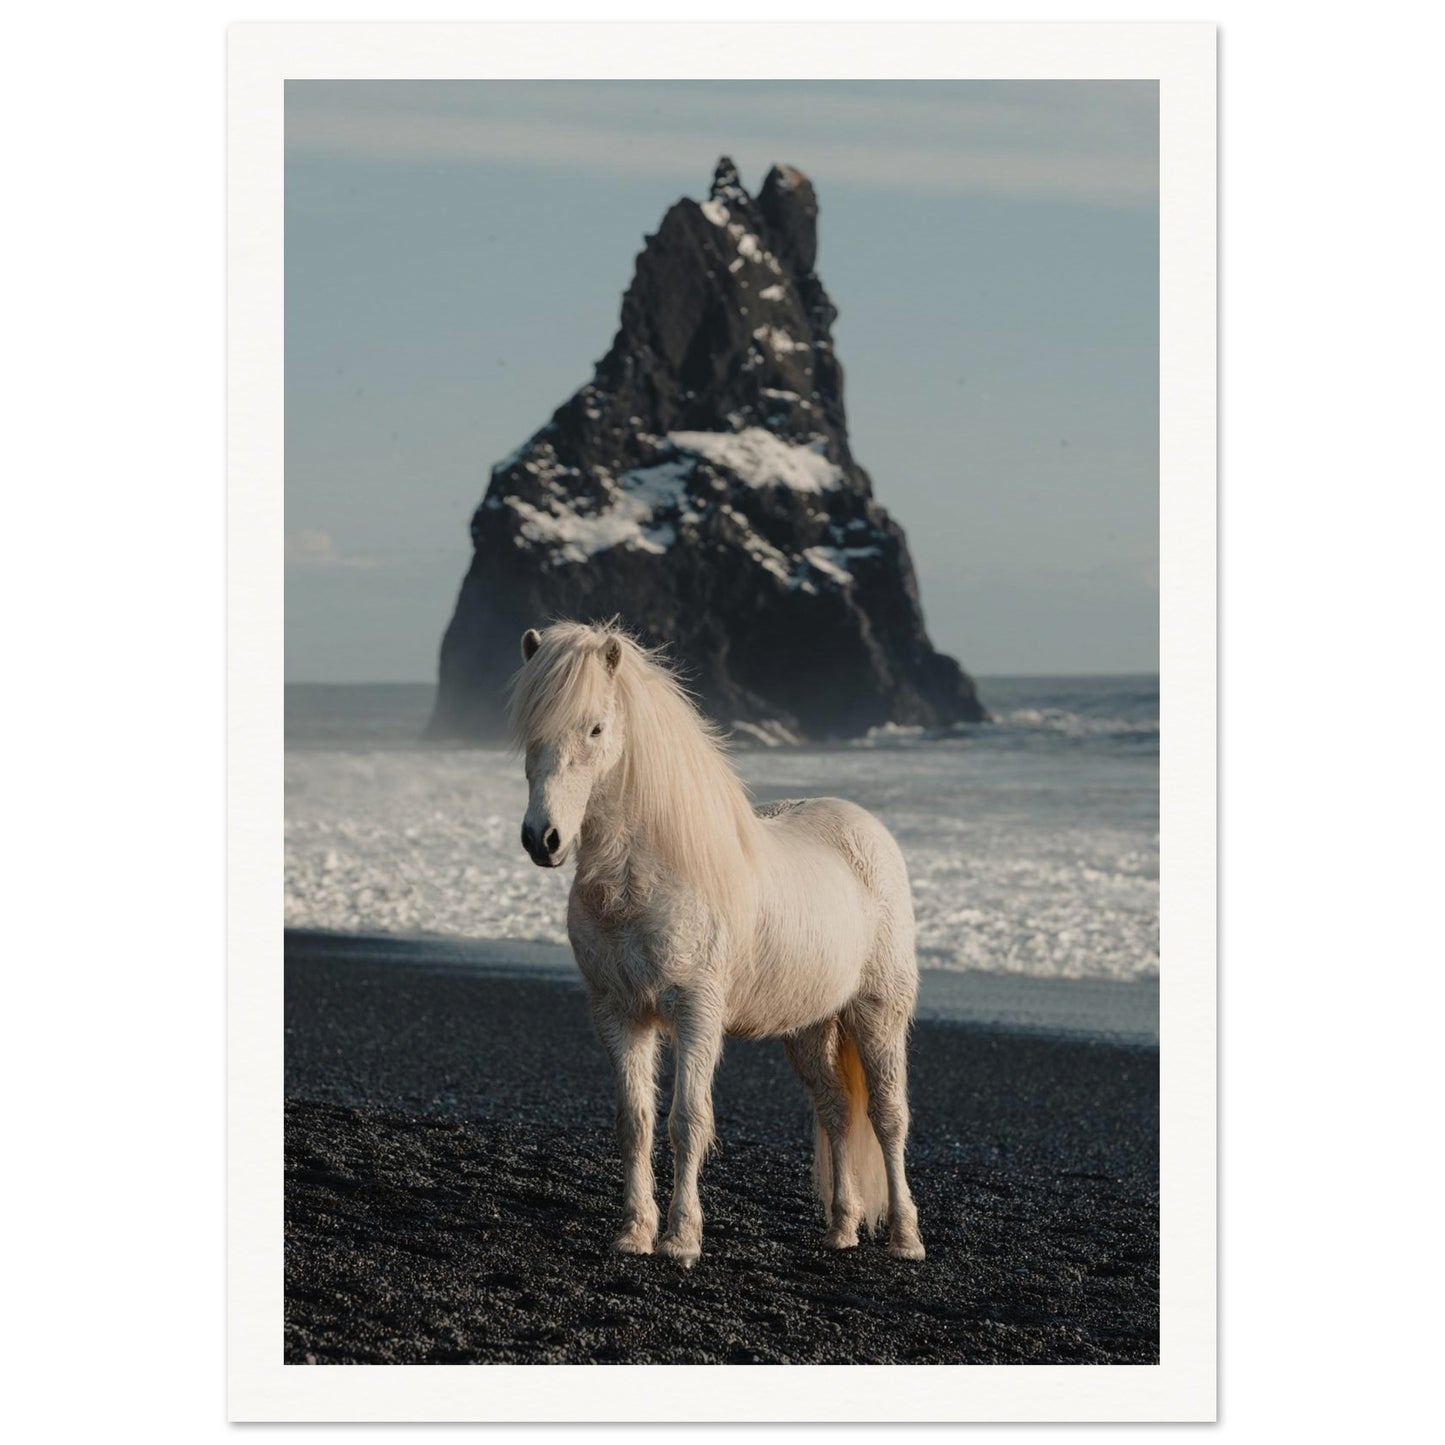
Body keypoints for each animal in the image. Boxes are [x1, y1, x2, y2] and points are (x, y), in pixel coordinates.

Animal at [510, 620, 926, 1267]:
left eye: (596, 728)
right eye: (531, 729)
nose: (542, 839)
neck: (648, 878)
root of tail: (866, 828)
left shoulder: (696, 1013)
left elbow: (687, 1121)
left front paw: (681, 1239)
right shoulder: (618, 1015)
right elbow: (636, 1122)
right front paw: (634, 1233)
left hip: (877, 1011)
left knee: (887, 1117)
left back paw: (906, 1239)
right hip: (809, 1028)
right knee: (835, 1109)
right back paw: (841, 1228)